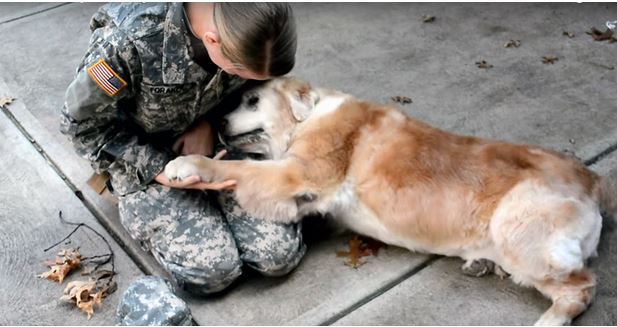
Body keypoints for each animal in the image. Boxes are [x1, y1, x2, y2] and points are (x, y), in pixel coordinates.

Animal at [165, 77, 616, 326]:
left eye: (253, 101)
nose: (218, 121)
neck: (309, 117)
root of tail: (593, 178)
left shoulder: (298, 173)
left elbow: (236, 168)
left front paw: (189, 163)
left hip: (518, 228)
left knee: (581, 287)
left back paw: (549, 318)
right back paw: (481, 263)